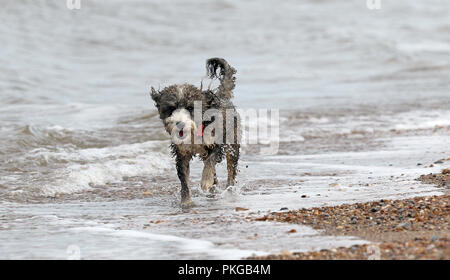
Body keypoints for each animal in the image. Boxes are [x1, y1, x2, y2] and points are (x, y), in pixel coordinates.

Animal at [150, 58, 243, 207]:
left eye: (190, 107)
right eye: (171, 108)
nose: (180, 123)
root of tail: (222, 96)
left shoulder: (216, 144)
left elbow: (211, 162)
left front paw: (205, 181)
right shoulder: (181, 153)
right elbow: (184, 179)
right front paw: (186, 202)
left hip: (232, 142)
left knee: (231, 169)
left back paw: (228, 190)